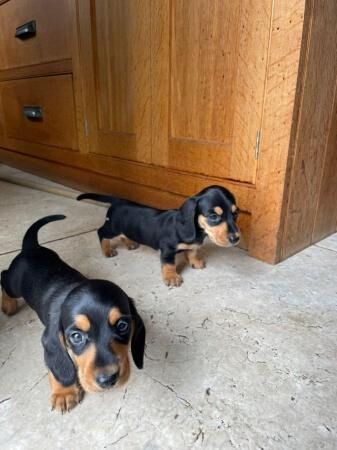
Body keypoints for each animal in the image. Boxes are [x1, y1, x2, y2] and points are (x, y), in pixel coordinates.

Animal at [1, 216, 146, 414]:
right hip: (13, 284)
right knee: (3, 276)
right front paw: (64, 391)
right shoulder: (51, 337)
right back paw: (8, 304)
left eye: (123, 325)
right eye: (76, 336)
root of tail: (31, 248)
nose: (108, 380)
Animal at [77, 186, 239, 288]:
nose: (236, 239)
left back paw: (130, 243)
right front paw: (171, 277)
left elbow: (192, 252)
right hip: (113, 228)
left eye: (236, 214)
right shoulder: (167, 249)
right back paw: (107, 250)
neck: (197, 231)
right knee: (101, 232)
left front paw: (195, 262)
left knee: (124, 235)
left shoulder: (192, 246)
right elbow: (169, 264)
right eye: (213, 216)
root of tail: (117, 201)